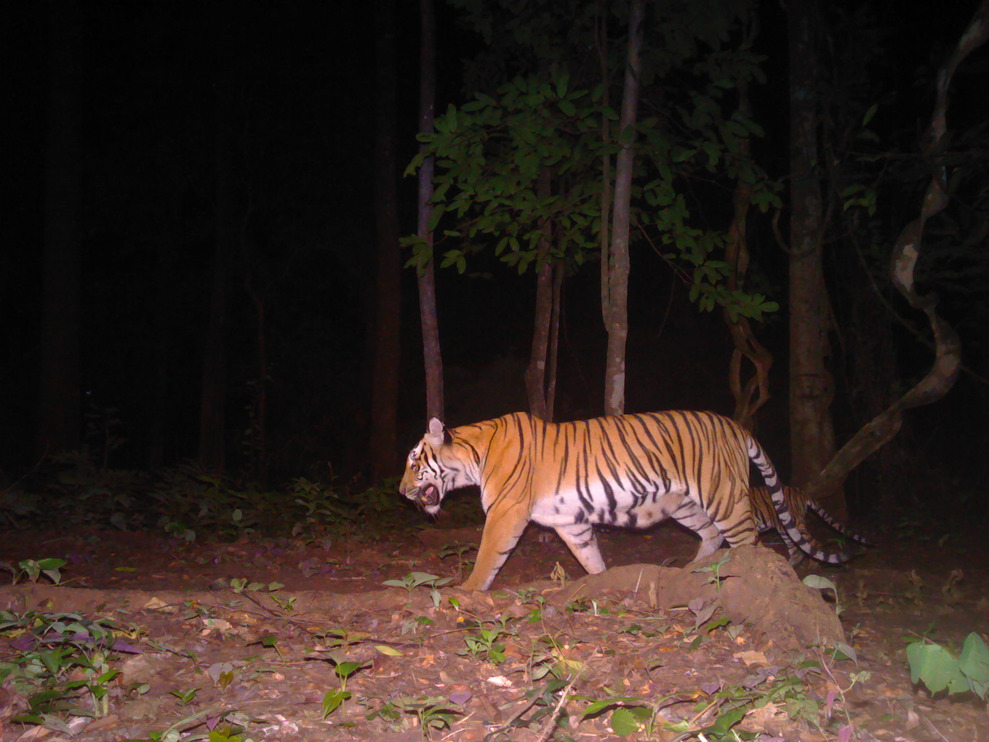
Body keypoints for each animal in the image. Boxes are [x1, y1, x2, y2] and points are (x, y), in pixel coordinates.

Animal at [399, 410, 852, 591]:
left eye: (413, 461)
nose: (400, 492)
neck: (473, 456)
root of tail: (735, 425)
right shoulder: (571, 523)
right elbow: (589, 557)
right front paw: (600, 583)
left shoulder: (505, 514)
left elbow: (487, 556)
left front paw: (467, 591)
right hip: (685, 504)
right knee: (712, 535)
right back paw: (693, 571)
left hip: (723, 496)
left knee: (748, 544)